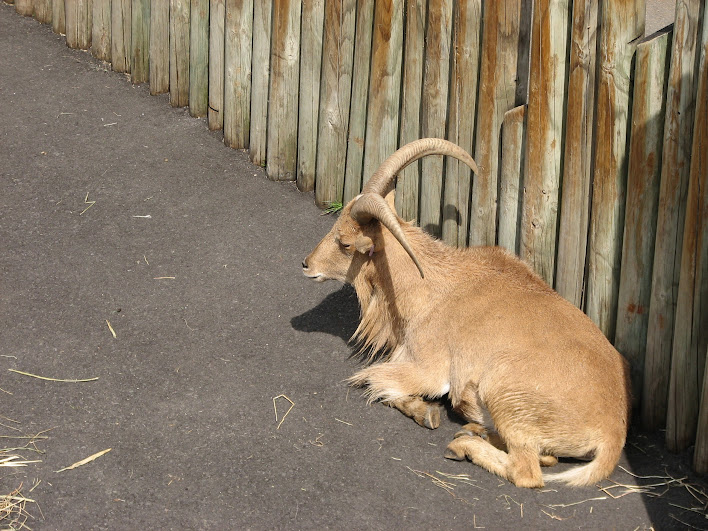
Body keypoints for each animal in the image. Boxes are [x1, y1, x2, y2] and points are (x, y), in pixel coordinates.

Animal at [302, 138, 630, 488]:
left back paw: (463, 445)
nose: (307, 264)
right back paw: (476, 431)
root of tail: (612, 432)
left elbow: (376, 381)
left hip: (505, 394)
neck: (430, 287)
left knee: (528, 471)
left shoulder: (427, 369)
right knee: (545, 457)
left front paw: (425, 411)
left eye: (345, 243)